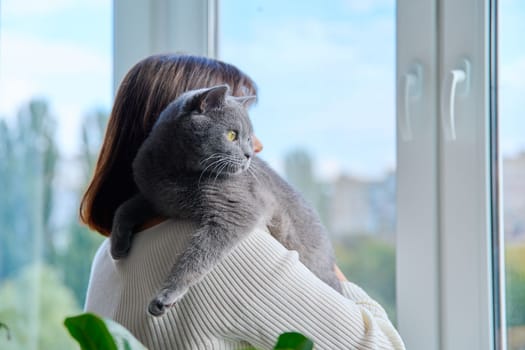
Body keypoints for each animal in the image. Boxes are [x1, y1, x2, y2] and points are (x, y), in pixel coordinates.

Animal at [110, 85, 340, 318]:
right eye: (232, 135)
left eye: (248, 138)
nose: (249, 154)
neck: (176, 173)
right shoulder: (157, 198)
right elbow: (126, 207)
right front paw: (118, 246)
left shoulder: (235, 211)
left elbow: (199, 254)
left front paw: (167, 294)